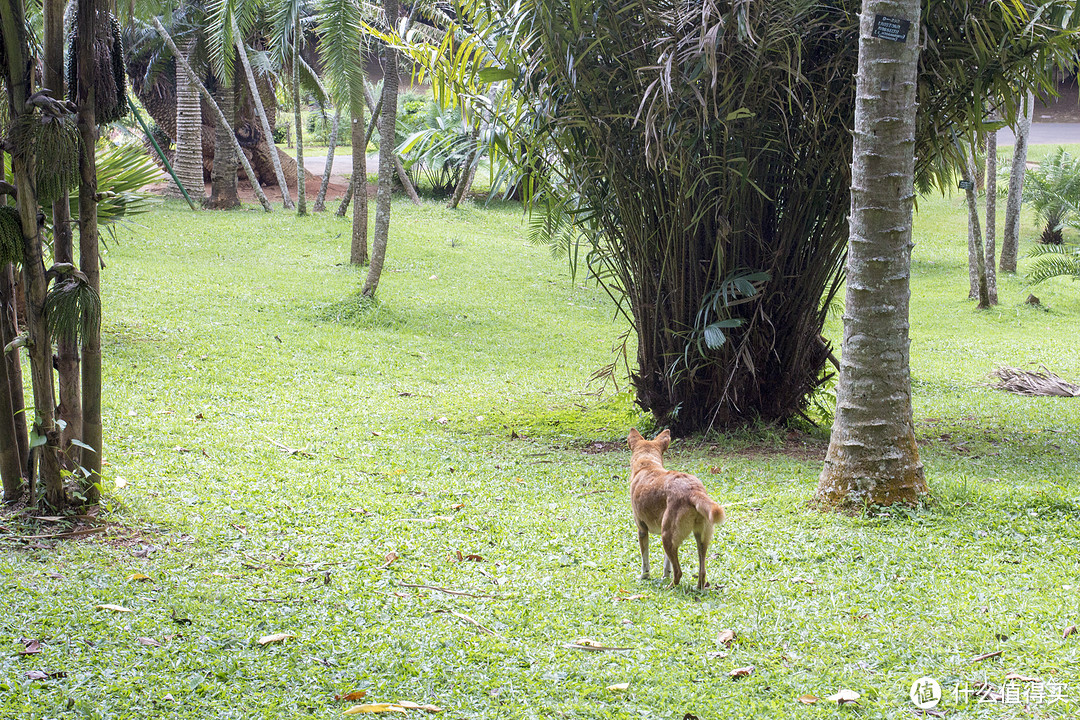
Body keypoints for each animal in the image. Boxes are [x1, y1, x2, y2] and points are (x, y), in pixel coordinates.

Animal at [626, 427, 725, 591]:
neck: (647, 465)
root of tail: (693, 490)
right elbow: (667, 564)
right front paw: (665, 575)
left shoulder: (642, 529)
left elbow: (645, 561)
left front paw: (644, 576)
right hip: (699, 539)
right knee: (702, 571)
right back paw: (697, 588)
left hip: (666, 536)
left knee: (679, 572)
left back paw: (670, 588)